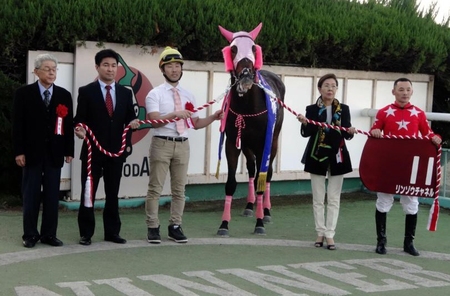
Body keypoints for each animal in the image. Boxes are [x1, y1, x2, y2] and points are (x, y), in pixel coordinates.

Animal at [217, 22, 284, 236]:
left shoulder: (264, 142)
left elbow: (262, 181)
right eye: (233, 49)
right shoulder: (233, 142)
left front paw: (260, 222)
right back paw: (249, 206)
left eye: (254, 48)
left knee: (266, 174)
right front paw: (224, 224)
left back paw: (266, 211)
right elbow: (231, 183)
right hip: (247, 145)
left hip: (273, 140)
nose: (246, 75)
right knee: (252, 169)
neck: (248, 106)